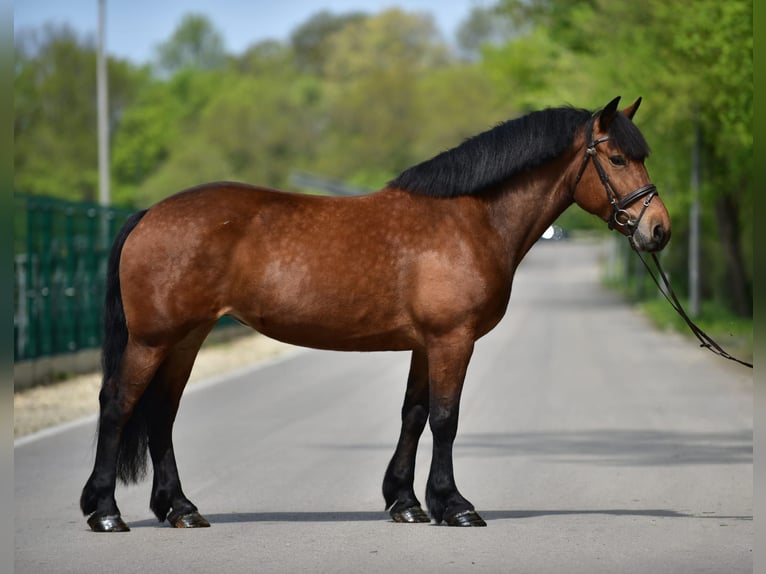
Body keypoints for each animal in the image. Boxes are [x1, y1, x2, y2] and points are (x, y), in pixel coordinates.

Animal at [81, 96, 670, 532]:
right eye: (618, 159)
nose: (659, 228)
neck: (470, 220)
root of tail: (149, 214)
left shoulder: (425, 344)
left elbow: (414, 415)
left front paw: (406, 502)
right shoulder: (452, 339)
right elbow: (446, 418)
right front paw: (455, 506)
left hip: (186, 338)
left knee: (161, 414)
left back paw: (180, 509)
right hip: (154, 339)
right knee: (118, 406)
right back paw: (105, 512)